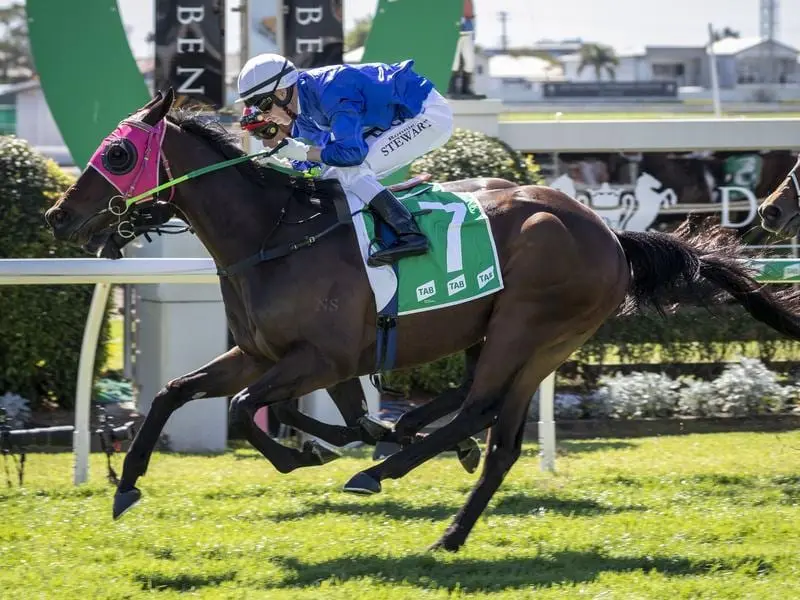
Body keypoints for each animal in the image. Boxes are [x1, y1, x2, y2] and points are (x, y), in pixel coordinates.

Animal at [45, 90, 800, 552]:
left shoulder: (319, 357)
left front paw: (303, 455)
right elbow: (176, 394)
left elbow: (250, 407)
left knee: (485, 413)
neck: (273, 235)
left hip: (532, 328)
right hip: (523, 338)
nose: (57, 214)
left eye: (116, 153)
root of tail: (611, 235)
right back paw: (442, 515)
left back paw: (388, 469)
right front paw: (127, 485)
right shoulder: (260, 353)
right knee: (492, 432)